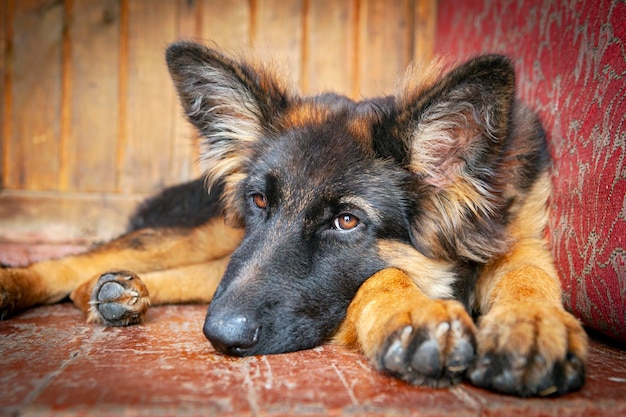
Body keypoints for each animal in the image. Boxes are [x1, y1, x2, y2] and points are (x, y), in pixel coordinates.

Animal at [0, 41, 584, 396]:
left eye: (347, 222)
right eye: (260, 202)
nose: (220, 336)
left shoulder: (520, 233)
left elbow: (527, 275)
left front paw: (532, 326)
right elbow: (382, 277)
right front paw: (413, 313)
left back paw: (116, 293)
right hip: (212, 231)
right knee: (86, 261)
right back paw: (26, 285)